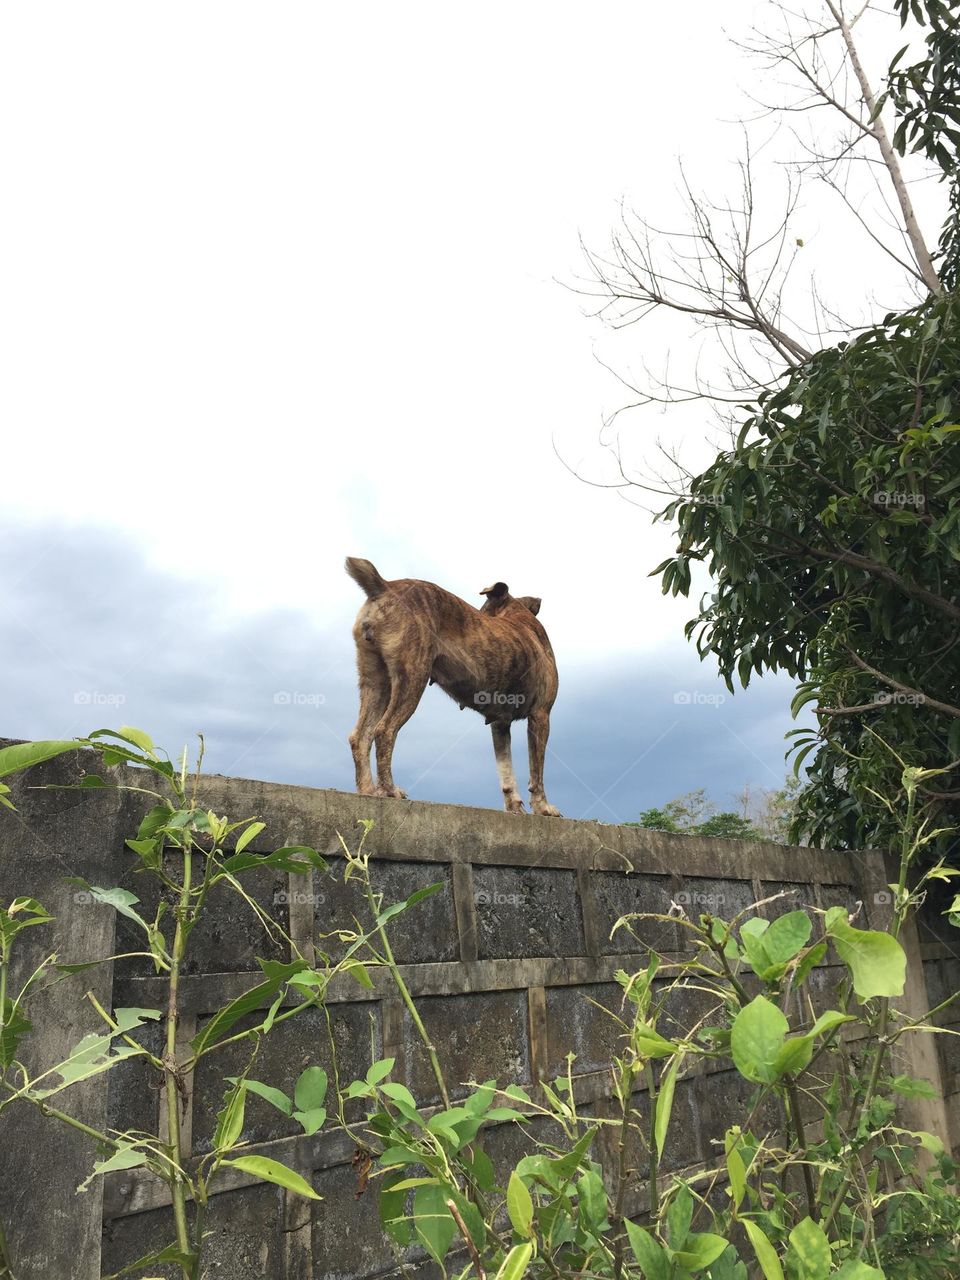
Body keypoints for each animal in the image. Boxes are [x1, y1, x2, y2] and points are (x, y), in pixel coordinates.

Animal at [345, 555, 560, 814]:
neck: (520, 617)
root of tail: (384, 587)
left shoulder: (500, 724)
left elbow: (506, 771)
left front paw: (514, 807)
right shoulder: (541, 715)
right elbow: (536, 771)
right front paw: (543, 807)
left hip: (376, 683)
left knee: (361, 736)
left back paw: (368, 790)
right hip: (412, 677)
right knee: (384, 731)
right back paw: (389, 790)